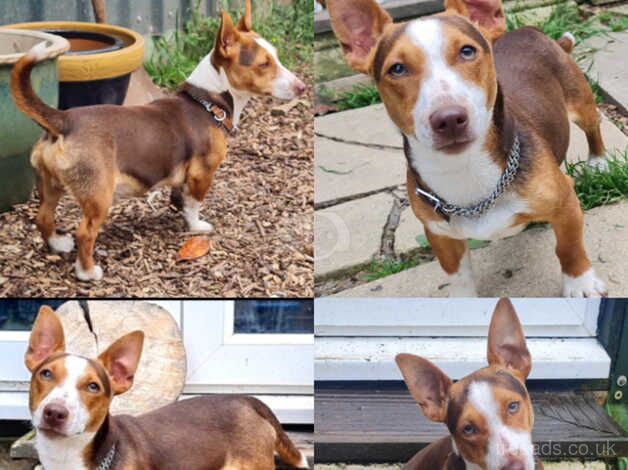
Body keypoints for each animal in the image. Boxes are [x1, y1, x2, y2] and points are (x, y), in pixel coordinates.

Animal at [9, 0, 304, 280]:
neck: (207, 101)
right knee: (84, 233)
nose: (301, 87)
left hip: (51, 185)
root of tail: (64, 119)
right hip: (99, 197)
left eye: (276, 58)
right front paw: (197, 227)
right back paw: (88, 272)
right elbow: (194, 205)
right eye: (263, 64)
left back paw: (58, 244)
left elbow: (181, 198)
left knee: (43, 217)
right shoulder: (203, 173)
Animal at [328, 0, 608, 298]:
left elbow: (569, 248)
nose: (449, 119)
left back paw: (598, 162)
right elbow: (457, 273)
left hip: (580, 101)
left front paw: (580, 284)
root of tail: (532, 31)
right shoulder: (439, 234)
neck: (465, 168)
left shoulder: (566, 203)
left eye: (467, 51)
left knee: (593, 126)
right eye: (397, 69)